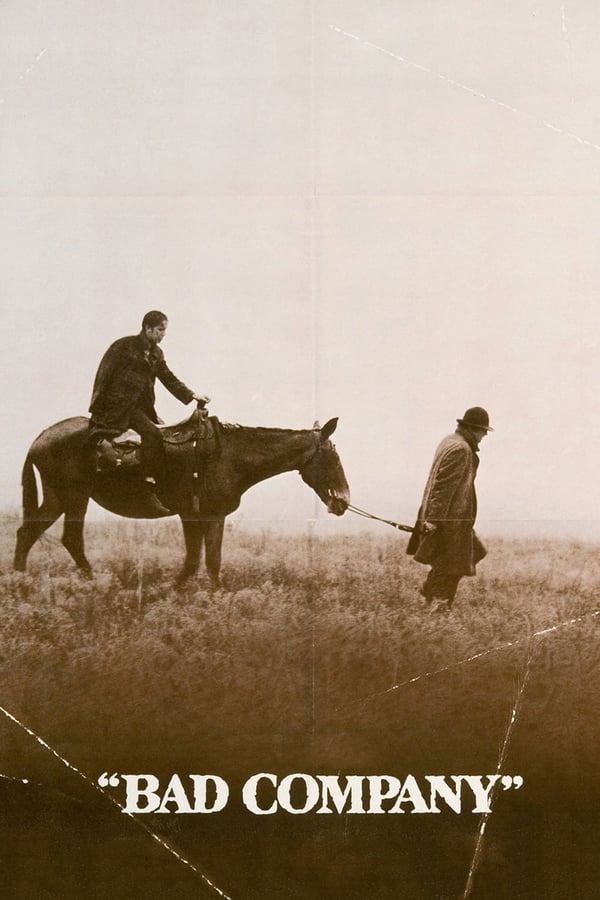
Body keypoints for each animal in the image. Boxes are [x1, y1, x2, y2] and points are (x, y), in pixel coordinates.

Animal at [14, 412, 350, 588]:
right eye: (333, 458)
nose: (343, 502)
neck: (228, 456)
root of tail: (40, 437)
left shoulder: (214, 516)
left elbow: (210, 561)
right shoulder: (192, 514)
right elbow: (194, 560)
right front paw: (175, 592)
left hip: (60, 498)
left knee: (31, 533)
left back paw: (23, 579)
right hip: (73, 497)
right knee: (66, 537)